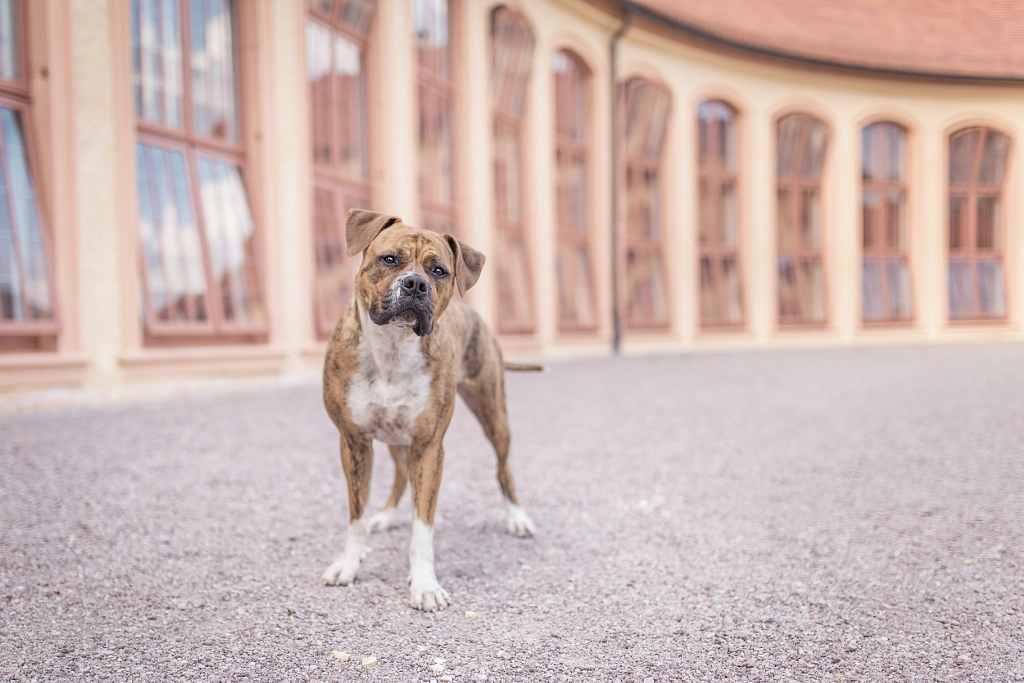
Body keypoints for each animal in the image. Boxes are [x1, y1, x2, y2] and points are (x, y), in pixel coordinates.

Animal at [323, 209, 540, 614]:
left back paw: (517, 518)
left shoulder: (428, 448)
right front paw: (349, 563)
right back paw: (384, 516)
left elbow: (422, 529)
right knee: (398, 478)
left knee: (503, 469)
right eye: (389, 259)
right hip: (395, 441)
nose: (415, 284)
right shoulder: (354, 442)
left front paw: (423, 585)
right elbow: (356, 515)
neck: (393, 348)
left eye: (439, 270)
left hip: (494, 416)